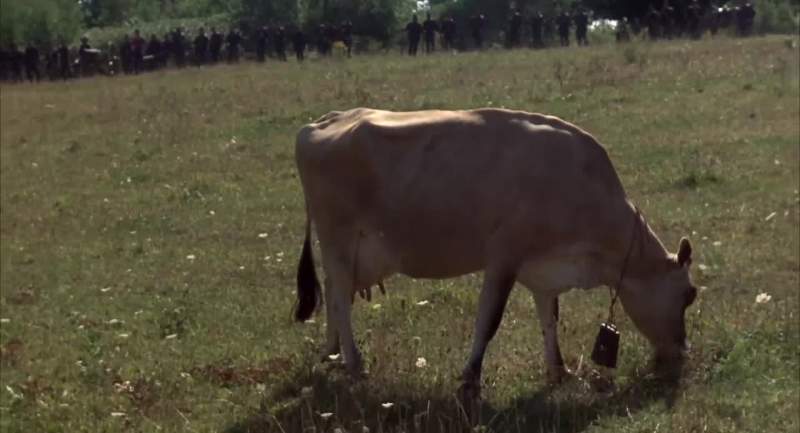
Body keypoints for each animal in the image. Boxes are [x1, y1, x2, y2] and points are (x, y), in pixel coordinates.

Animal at [293, 108, 697, 397]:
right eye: (689, 294)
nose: (682, 350)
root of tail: (321, 122)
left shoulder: (543, 266)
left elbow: (549, 318)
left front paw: (558, 371)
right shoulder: (504, 257)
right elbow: (488, 320)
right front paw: (470, 378)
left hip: (349, 253)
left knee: (334, 292)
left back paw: (332, 352)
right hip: (339, 238)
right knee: (340, 301)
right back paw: (354, 362)